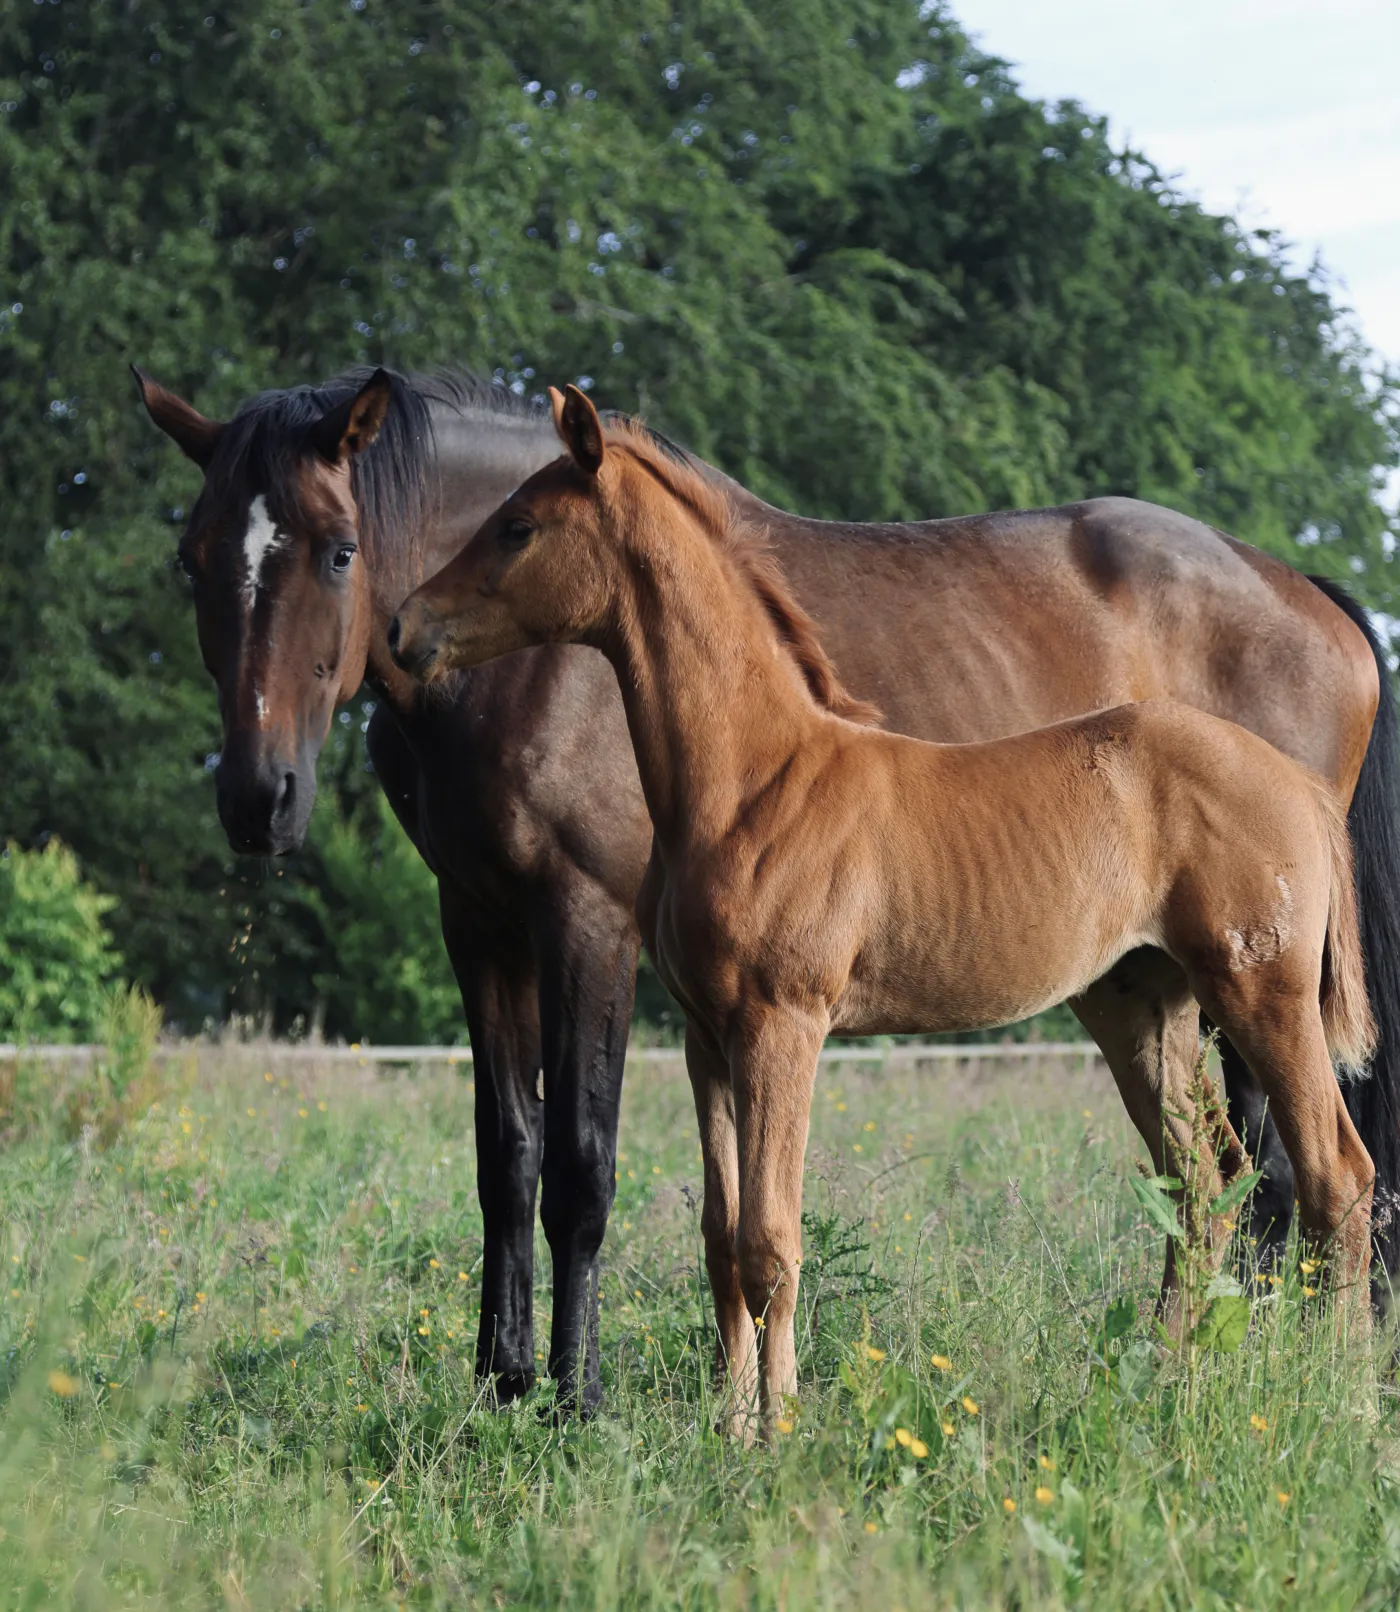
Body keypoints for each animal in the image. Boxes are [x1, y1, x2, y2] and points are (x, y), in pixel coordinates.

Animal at [134, 362, 1400, 1413]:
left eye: (339, 548)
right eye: (192, 557)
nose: (258, 797)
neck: (759, 767)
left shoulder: (694, 975)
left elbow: (676, 1206)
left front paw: (625, 1408)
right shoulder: (594, 973)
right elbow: (635, 1202)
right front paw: (623, 1405)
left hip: (1260, 995)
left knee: (1325, 1179)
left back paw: (1319, 1398)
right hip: (1140, 1000)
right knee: (1207, 1181)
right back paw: (1167, 1379)